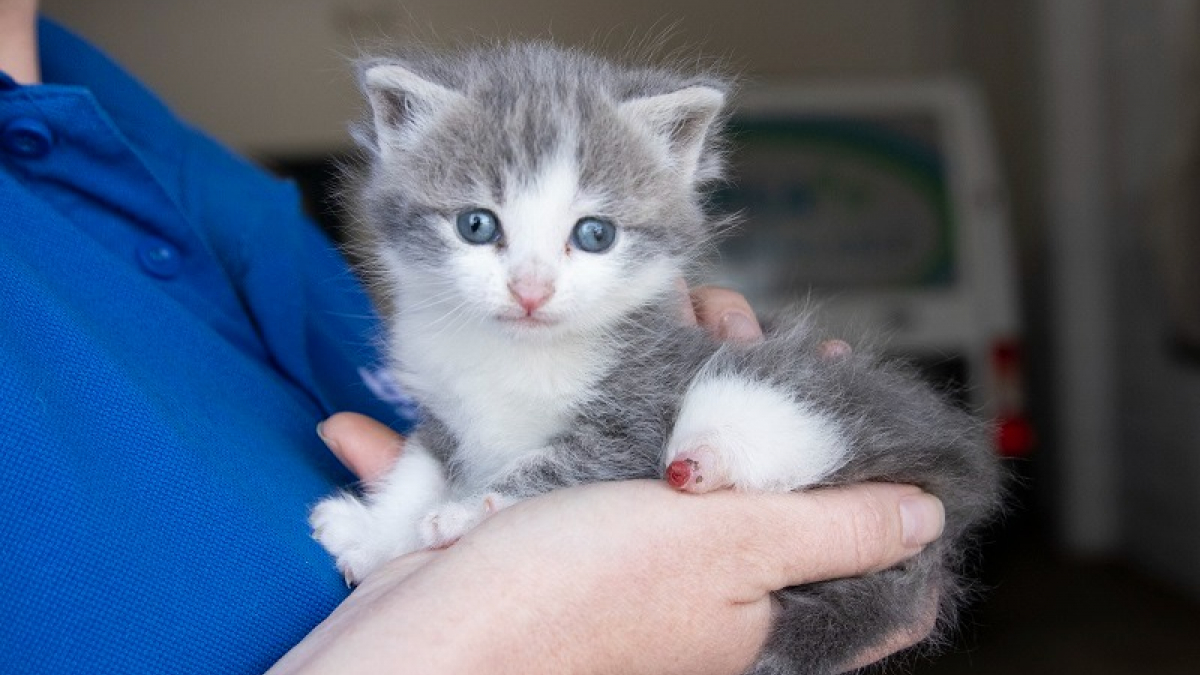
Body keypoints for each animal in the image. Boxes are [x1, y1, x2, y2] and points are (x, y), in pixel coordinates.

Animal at [309, 43, 1003, 672]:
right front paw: (375, 532)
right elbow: (419, 466)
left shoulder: (643, 401)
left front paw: (468, 511)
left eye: (595, 234)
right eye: (476, 225)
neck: (518, 355)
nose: (531, 290)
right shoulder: (440, 404)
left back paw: (709, 459)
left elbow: (564, 464)